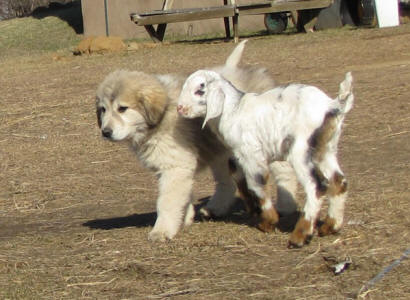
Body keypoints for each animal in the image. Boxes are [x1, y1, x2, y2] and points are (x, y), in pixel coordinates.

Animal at [95, 41, 296, 241]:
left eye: (122, 108)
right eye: (103, 109)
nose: (106, 132)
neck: (162, 114)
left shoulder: (175, 167)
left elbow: (167, 201)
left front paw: (162, 231)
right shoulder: (177, 166)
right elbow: (185, 194)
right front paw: (185, 218)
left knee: (285, 173)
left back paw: (286, 206)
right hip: (221, 152)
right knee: (227, 183)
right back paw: (215, 209)